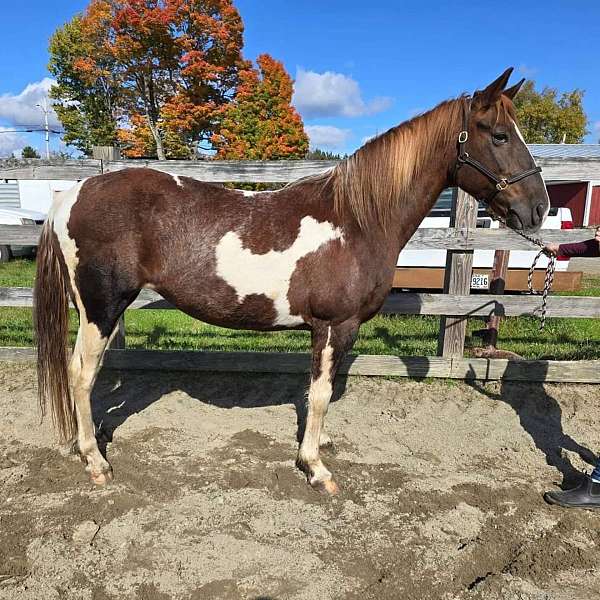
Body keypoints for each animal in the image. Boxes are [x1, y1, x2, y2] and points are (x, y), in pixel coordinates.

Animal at [32, 68, 548, 494]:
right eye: (500, 135)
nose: (538, 208)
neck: (357, 219)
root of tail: (71, 195)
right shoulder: (334, 325)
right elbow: (319, 395)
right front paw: (314, 467)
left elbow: (319, 393)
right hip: (100, 309)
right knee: (81, 374)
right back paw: (95, 461)